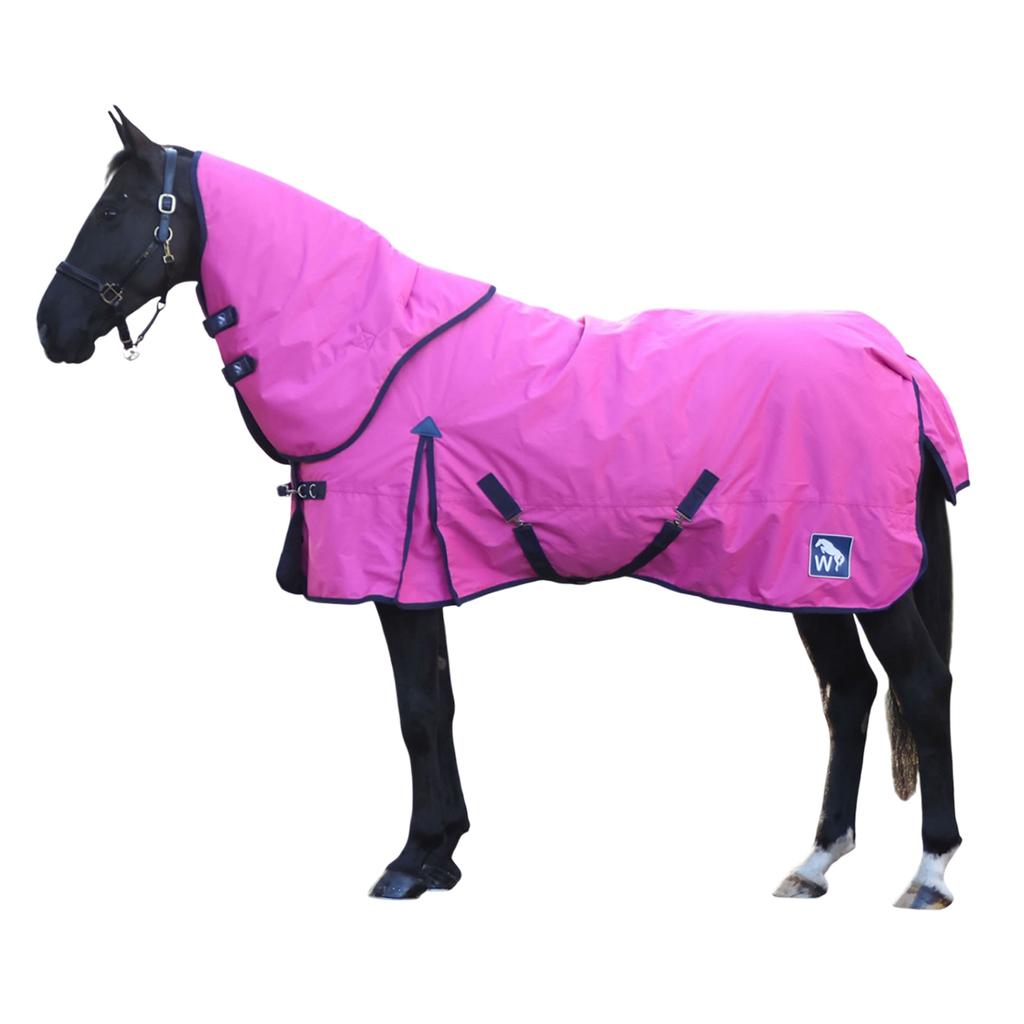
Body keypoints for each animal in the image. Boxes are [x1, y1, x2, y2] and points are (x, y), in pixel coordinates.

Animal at [36, 108, 967, 907]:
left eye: (117, 208)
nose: (52, 327)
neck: (372, 358)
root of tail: (896, 359)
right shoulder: (421, 574)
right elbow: (439, 705)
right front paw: (441, 853)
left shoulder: (398, 572)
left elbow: (417, 711)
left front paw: (411, 862)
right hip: (812, 580)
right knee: (848, 693)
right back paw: (815, 862)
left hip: (865, 574)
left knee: (920, 685)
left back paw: (930, 872)